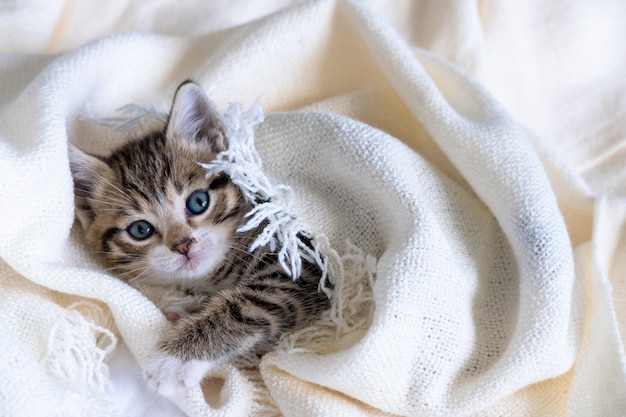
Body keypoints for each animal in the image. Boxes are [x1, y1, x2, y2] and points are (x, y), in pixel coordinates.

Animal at [69, 80, 332, 394]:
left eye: (198, 202)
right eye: (140, 230)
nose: (183, 245)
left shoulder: (299, 256)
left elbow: (249, 303)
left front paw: (174, 361)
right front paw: (184, 305)